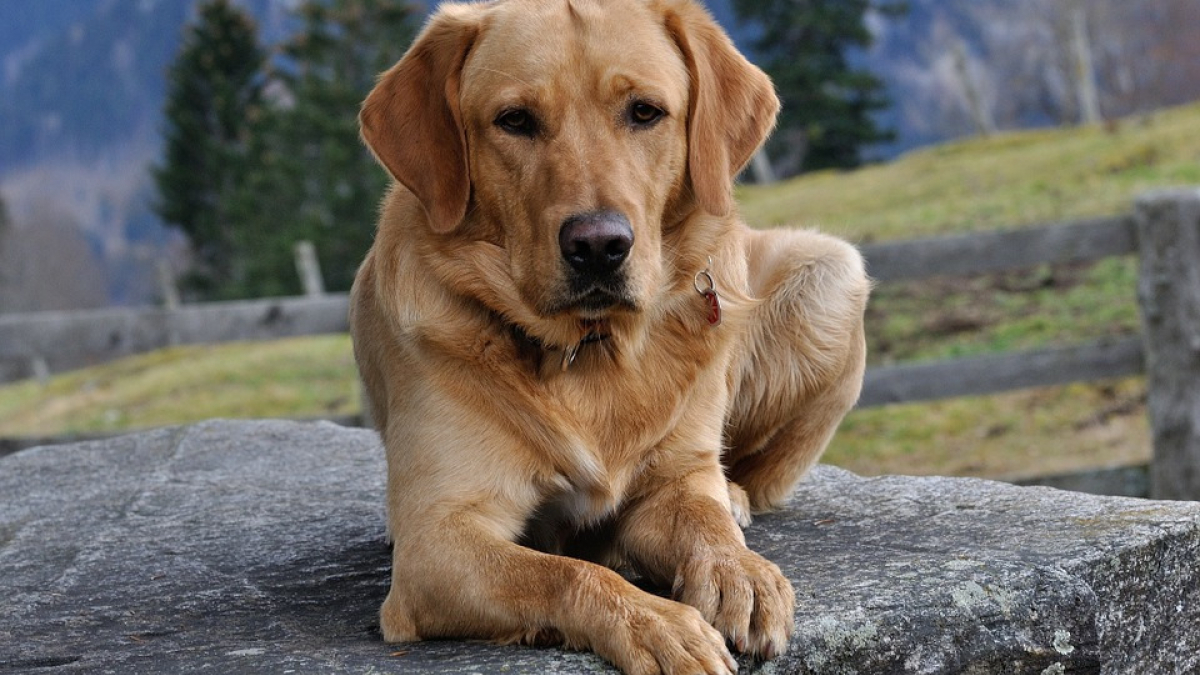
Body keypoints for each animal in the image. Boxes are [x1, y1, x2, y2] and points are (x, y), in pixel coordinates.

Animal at [350, 1, 868, 667]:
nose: (599, 245)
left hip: (832, 273)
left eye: (644, 111)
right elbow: (565, 573)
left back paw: (734, 497)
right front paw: (655, 622)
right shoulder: (436, 541)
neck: (589, 349)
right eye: (514, 120)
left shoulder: (672, 481)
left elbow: (703, 523)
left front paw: (739, 572)